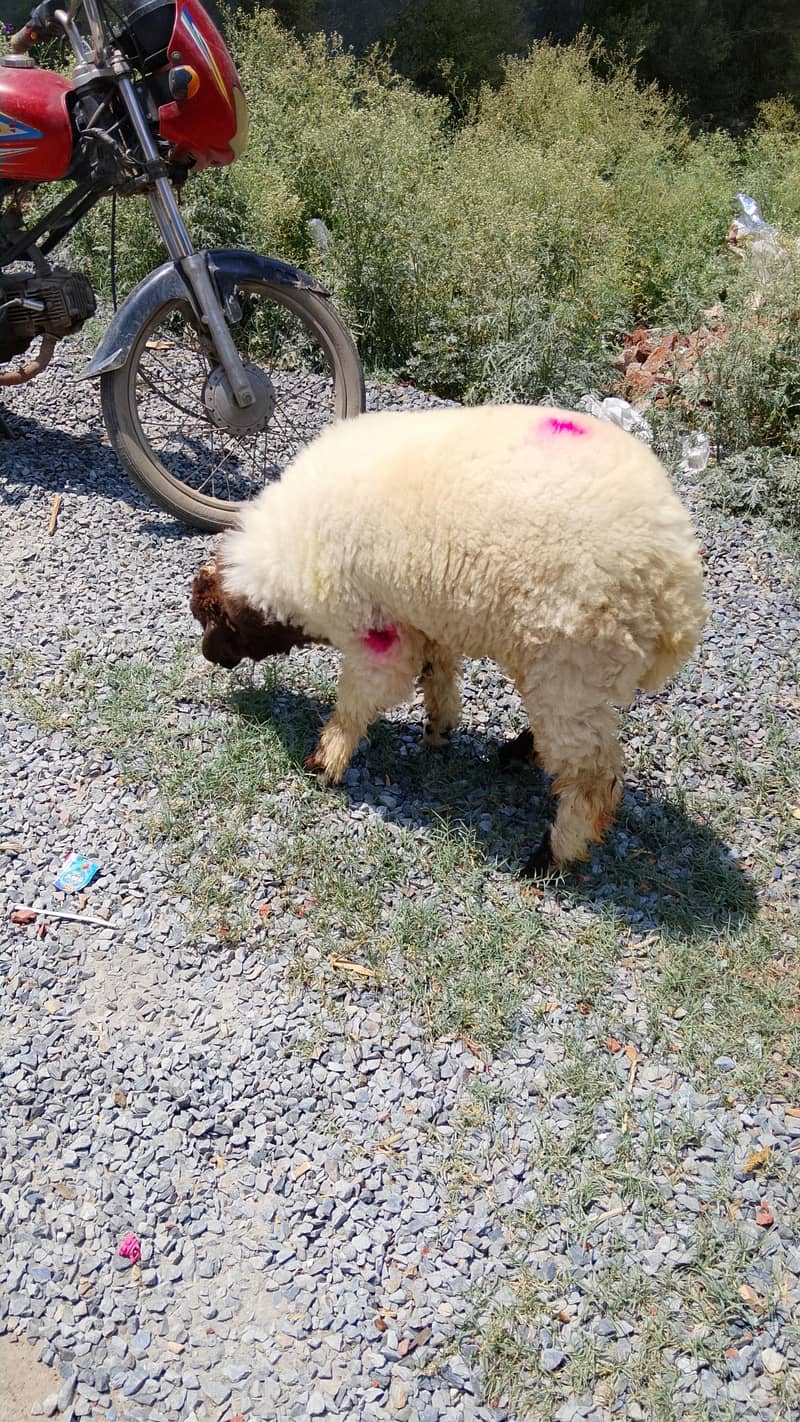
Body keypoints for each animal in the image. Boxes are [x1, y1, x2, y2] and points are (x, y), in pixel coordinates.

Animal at [190, 403, 707, 874]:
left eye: (213, 621)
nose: (207, 656)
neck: (288, 561)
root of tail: (676, 589)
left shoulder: (376, 634)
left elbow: (357, 701)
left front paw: (325, 760)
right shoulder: (419, 618)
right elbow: (437, 673)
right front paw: (438, 731)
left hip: (571, 664)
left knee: (593, 777)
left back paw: (549, 856)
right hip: (565, 670)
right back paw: (518, 753)